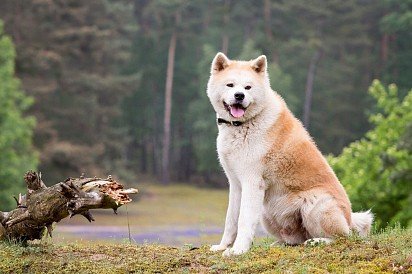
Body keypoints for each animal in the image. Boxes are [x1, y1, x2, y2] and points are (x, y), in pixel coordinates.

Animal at [208, 52, 372, 256]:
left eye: (248, 87)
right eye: (230, 85)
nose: (239, 96)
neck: (243, 125)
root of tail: (349, 219)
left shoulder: (252, 183)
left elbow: (244, 221)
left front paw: (238, 250)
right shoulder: (236, 185)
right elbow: (231, 220)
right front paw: (223, 246)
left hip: (316, 204)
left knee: (342, 237)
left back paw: (318, 241)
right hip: (267, 213)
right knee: (295, 240)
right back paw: (280, 244)